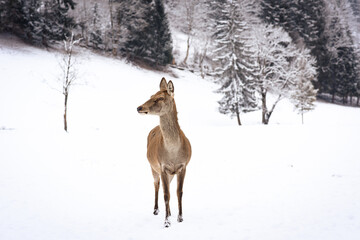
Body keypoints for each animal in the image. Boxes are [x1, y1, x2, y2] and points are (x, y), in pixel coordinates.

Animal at [138, 77, 193, 227]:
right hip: (152, 167)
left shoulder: (183, 166)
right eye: (151, 95)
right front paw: (167, 222)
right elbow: (166, 194)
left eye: (160, 98)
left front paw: (180, 217)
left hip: (169, 173)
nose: (139, 107)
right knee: (157, 185)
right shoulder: (162, 166)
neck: (173, 152)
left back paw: (169, 212)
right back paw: (157, 210)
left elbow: (179, 192)